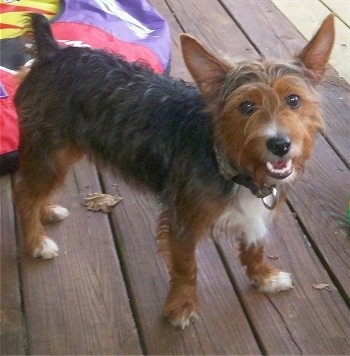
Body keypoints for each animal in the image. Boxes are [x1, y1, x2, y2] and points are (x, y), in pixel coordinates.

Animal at [15, 13, 334, 330]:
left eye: (293, 99)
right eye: (246, 106)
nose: (279, 144)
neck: (224, 156)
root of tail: (53, 51)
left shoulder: (257, 212)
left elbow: (254, 247)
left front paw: (264, 277)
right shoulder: (183, 221)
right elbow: (185, 267)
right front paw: (181, 306)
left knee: (34, 192)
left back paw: (47, 211)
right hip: (51, 155)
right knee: (24, 195)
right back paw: (36, 242)